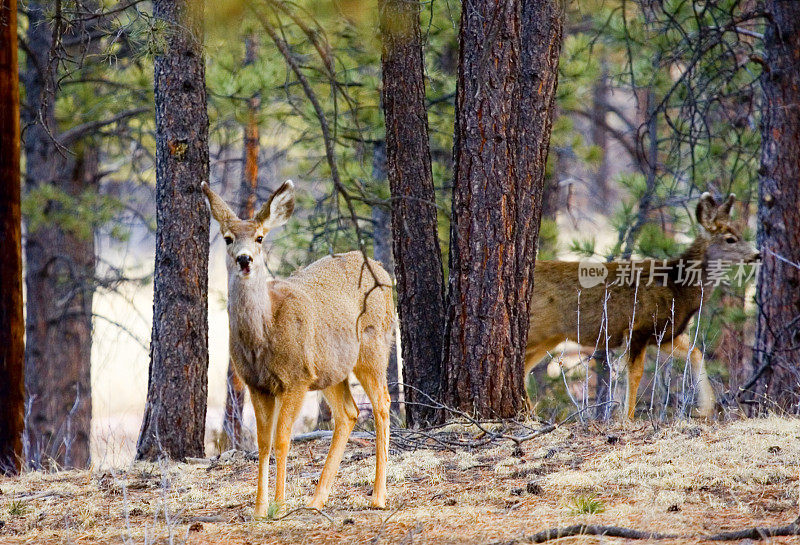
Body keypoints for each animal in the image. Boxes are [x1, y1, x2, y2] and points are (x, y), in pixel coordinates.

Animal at [200, 182, 394, 516]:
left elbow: (282, 440)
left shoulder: (296, 378)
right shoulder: (257, 384)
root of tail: (381, 270)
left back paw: (378, 496)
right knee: (349, 413)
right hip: (330, 369)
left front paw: (278, 505)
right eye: (227, 238)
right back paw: (316, 501)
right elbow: (262, 442)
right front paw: (259, 510)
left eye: (260, 237)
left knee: (382, 404)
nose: (245, 259)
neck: (263, 335)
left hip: (373, 346)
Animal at [528, 193, 760, 418]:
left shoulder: (665, 334)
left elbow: (695, 352)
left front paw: (704, 409)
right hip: (539, 329)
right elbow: (635, 373)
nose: (757, 254)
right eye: (730, 239)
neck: (678, 288)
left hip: (551, 336)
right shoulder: (640, 327)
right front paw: (627, 417)